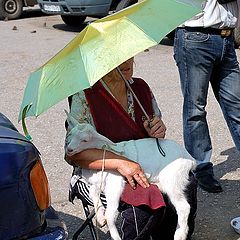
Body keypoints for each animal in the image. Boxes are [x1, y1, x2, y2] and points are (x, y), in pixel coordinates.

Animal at [65, 114, 195, 240]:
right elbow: (94, 196)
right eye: (70, 134)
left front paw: (115, 236)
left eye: (84, 140)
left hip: (173, 179)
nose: (69, 149)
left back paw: (180, 235)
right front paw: (101, 218)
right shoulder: (94, 184)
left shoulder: (115, 182)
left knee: (184, 207)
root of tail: (190, 159)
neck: (103, 155)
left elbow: (110, 214)